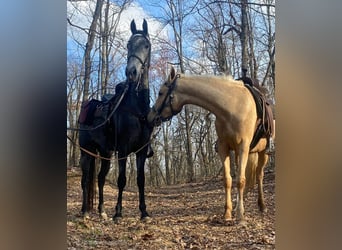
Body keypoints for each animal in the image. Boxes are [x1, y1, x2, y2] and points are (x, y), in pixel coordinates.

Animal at [79, 19, 152, 221]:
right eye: (128, 45)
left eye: (146, 45)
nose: (132, 72)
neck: (137, 108)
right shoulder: (124, 150)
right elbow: (122, 180)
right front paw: (118, 213)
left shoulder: (141, 151)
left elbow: (141, 180)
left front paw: (144, 212)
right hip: (87, 151)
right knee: (85, 179)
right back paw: (84, 211)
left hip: (105, 153)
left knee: (100, 178)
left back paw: (102, 211)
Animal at [148, 66, 276, 223]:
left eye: (161, 93)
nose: (150, 117)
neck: (232, 107)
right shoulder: (224, 148)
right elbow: (228, 180)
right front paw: (227, 213)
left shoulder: (243, 147)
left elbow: (240, 180)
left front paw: (240, 216)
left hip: (263, 153)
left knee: (259, 175)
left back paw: (262, 206)